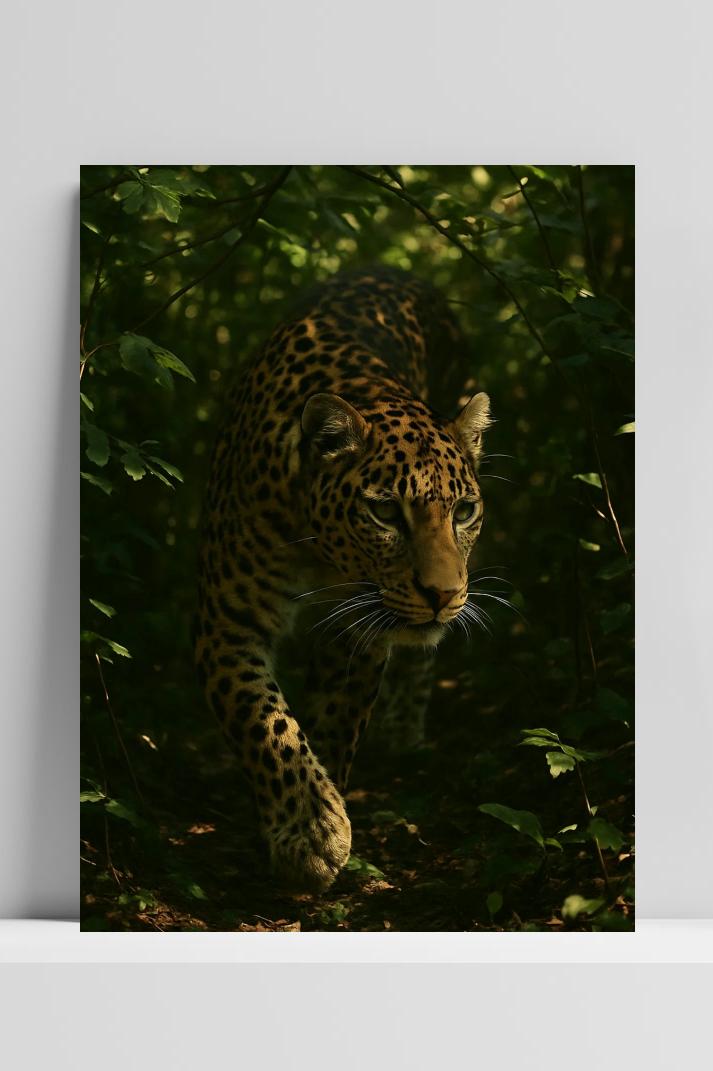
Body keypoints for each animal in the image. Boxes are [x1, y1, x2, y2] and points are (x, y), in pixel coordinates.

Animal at [194, 268, 491, 892]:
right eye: (385, 512)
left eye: (464, 511)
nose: (443, 594)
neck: (321, 551)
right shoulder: (226, 620)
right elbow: (264, 719)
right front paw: (310, 828)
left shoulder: (360, 631)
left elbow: (335, 723)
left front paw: (317, 815)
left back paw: (406, 733)